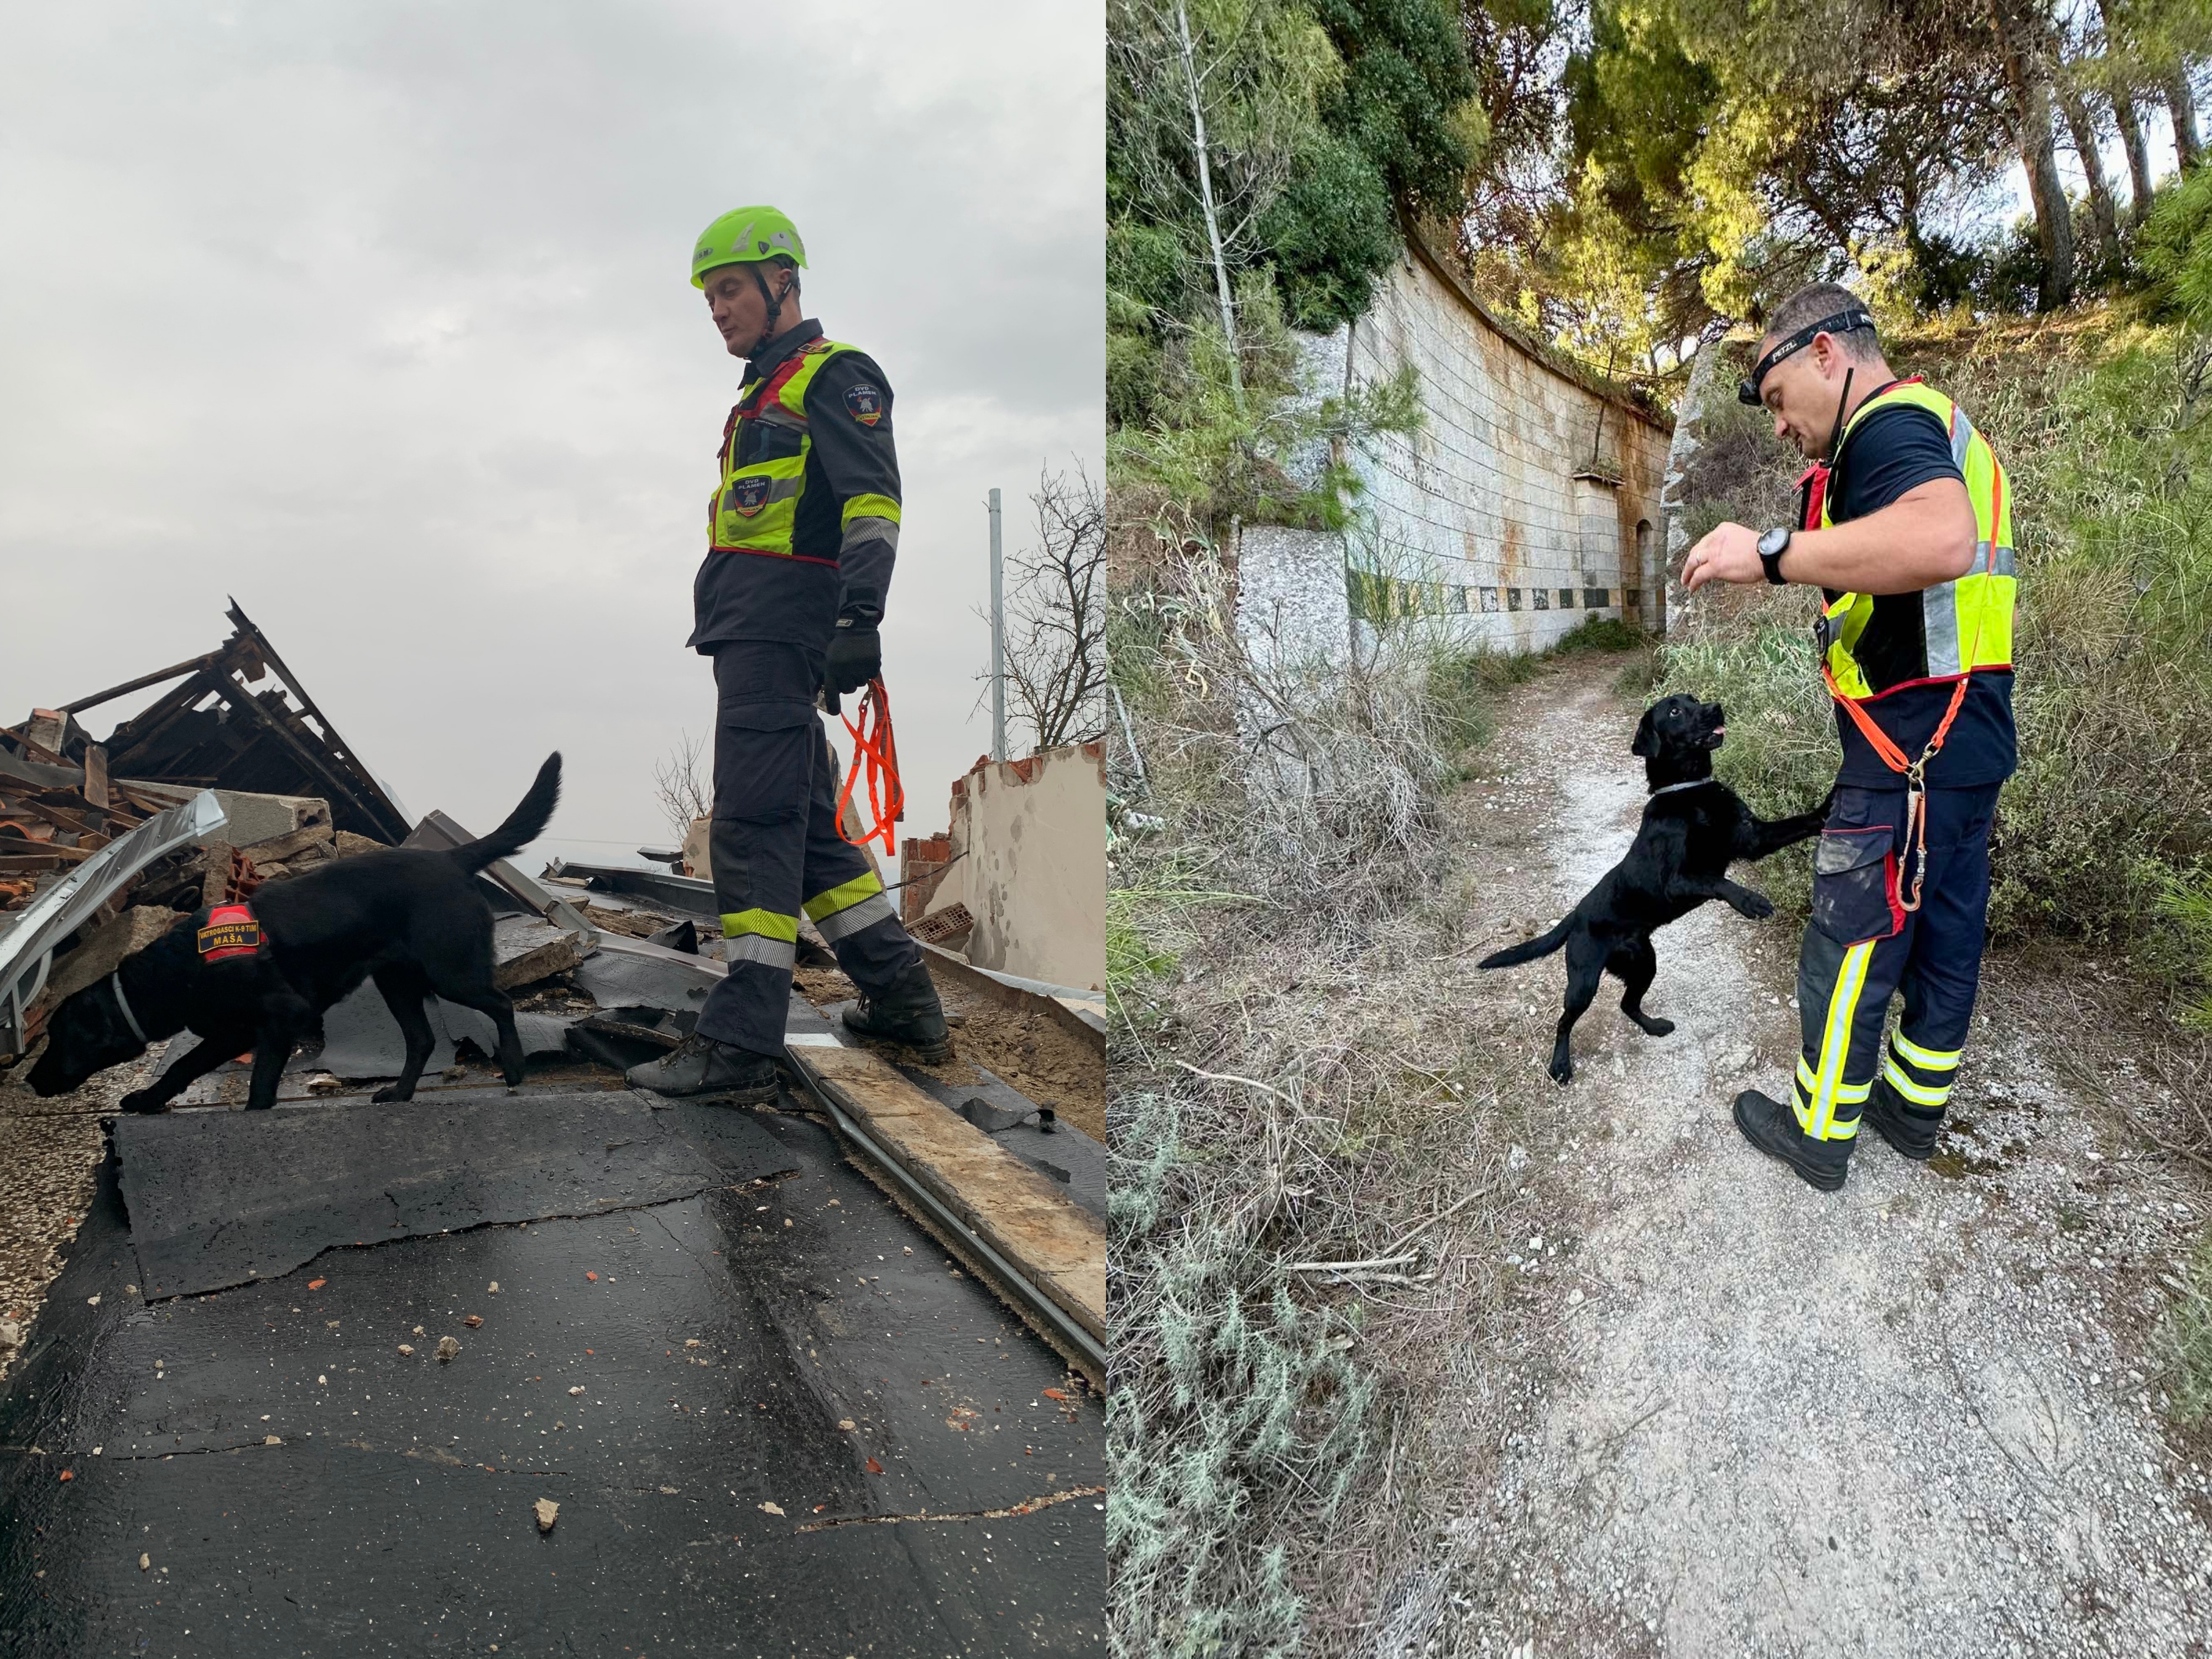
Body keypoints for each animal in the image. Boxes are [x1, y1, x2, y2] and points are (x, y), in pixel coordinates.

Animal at [27, 752, 562, 1119]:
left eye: (59, 1038)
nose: (30, 1079)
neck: (175, 971)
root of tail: (452, 857)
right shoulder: (233, 1031)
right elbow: (183, 1067)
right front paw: (148, 1098)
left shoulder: (279, 1018)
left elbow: (260, 1082)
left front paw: (253, 1113)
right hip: (397, 982)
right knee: (423, 1039)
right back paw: (401, 1092)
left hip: (450, 971)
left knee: (502, 1005)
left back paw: (515, 1068)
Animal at [1478, 690, 1823, 1093]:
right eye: (1674, 711)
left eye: (1694, 699)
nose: (1716, 708)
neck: (1691, 792)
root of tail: (1576, 914)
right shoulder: (1677, 880)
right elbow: (1718, 882)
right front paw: (1750, 901)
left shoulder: (1753, 838)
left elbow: (1799, 823)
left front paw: (1833, 804)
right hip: (1583, 982)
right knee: (1564, 1021)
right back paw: (1560, 1064)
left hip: (1643, 963)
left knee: (1627, 1005)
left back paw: (1655, 1027)